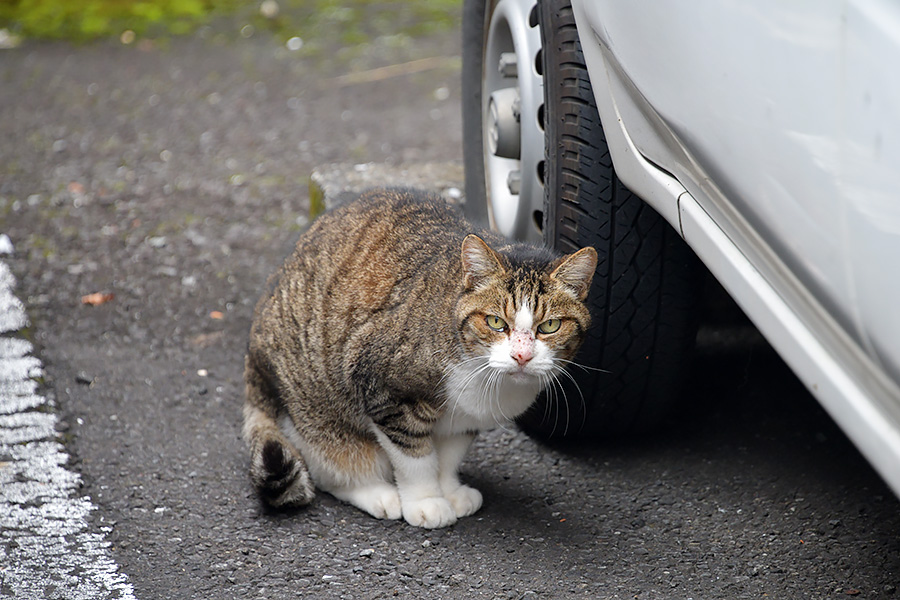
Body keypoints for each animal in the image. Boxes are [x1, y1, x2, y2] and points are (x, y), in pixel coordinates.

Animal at [246, 189, 596, 528]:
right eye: (496, 321)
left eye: (549, 326)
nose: (521, 355)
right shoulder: (384, 391)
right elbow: (415, 458)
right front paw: (427, 502)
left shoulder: (464, 420)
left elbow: (449, 456)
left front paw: (450, 491)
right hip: (313, 405)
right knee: (330, 463)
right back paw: (377, 493)